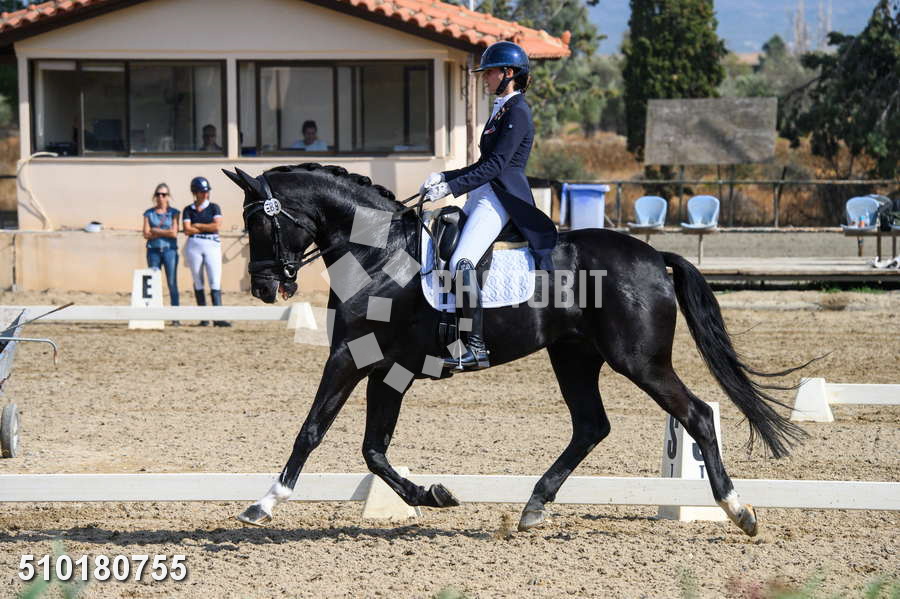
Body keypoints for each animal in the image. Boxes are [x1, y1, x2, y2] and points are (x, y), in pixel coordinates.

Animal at [223, 163, 808, 536]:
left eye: (256, 220)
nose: (264, 288)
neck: (379, 256)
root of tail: (652, 256)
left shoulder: (351, 357)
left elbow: (312, 430)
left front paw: (263, 504)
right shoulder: (386, 369)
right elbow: (374, 449)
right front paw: (431, 495)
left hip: (639, 361)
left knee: (697, 415)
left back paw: (739, 512)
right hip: (573, 357)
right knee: (591, 426)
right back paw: (532, 507)